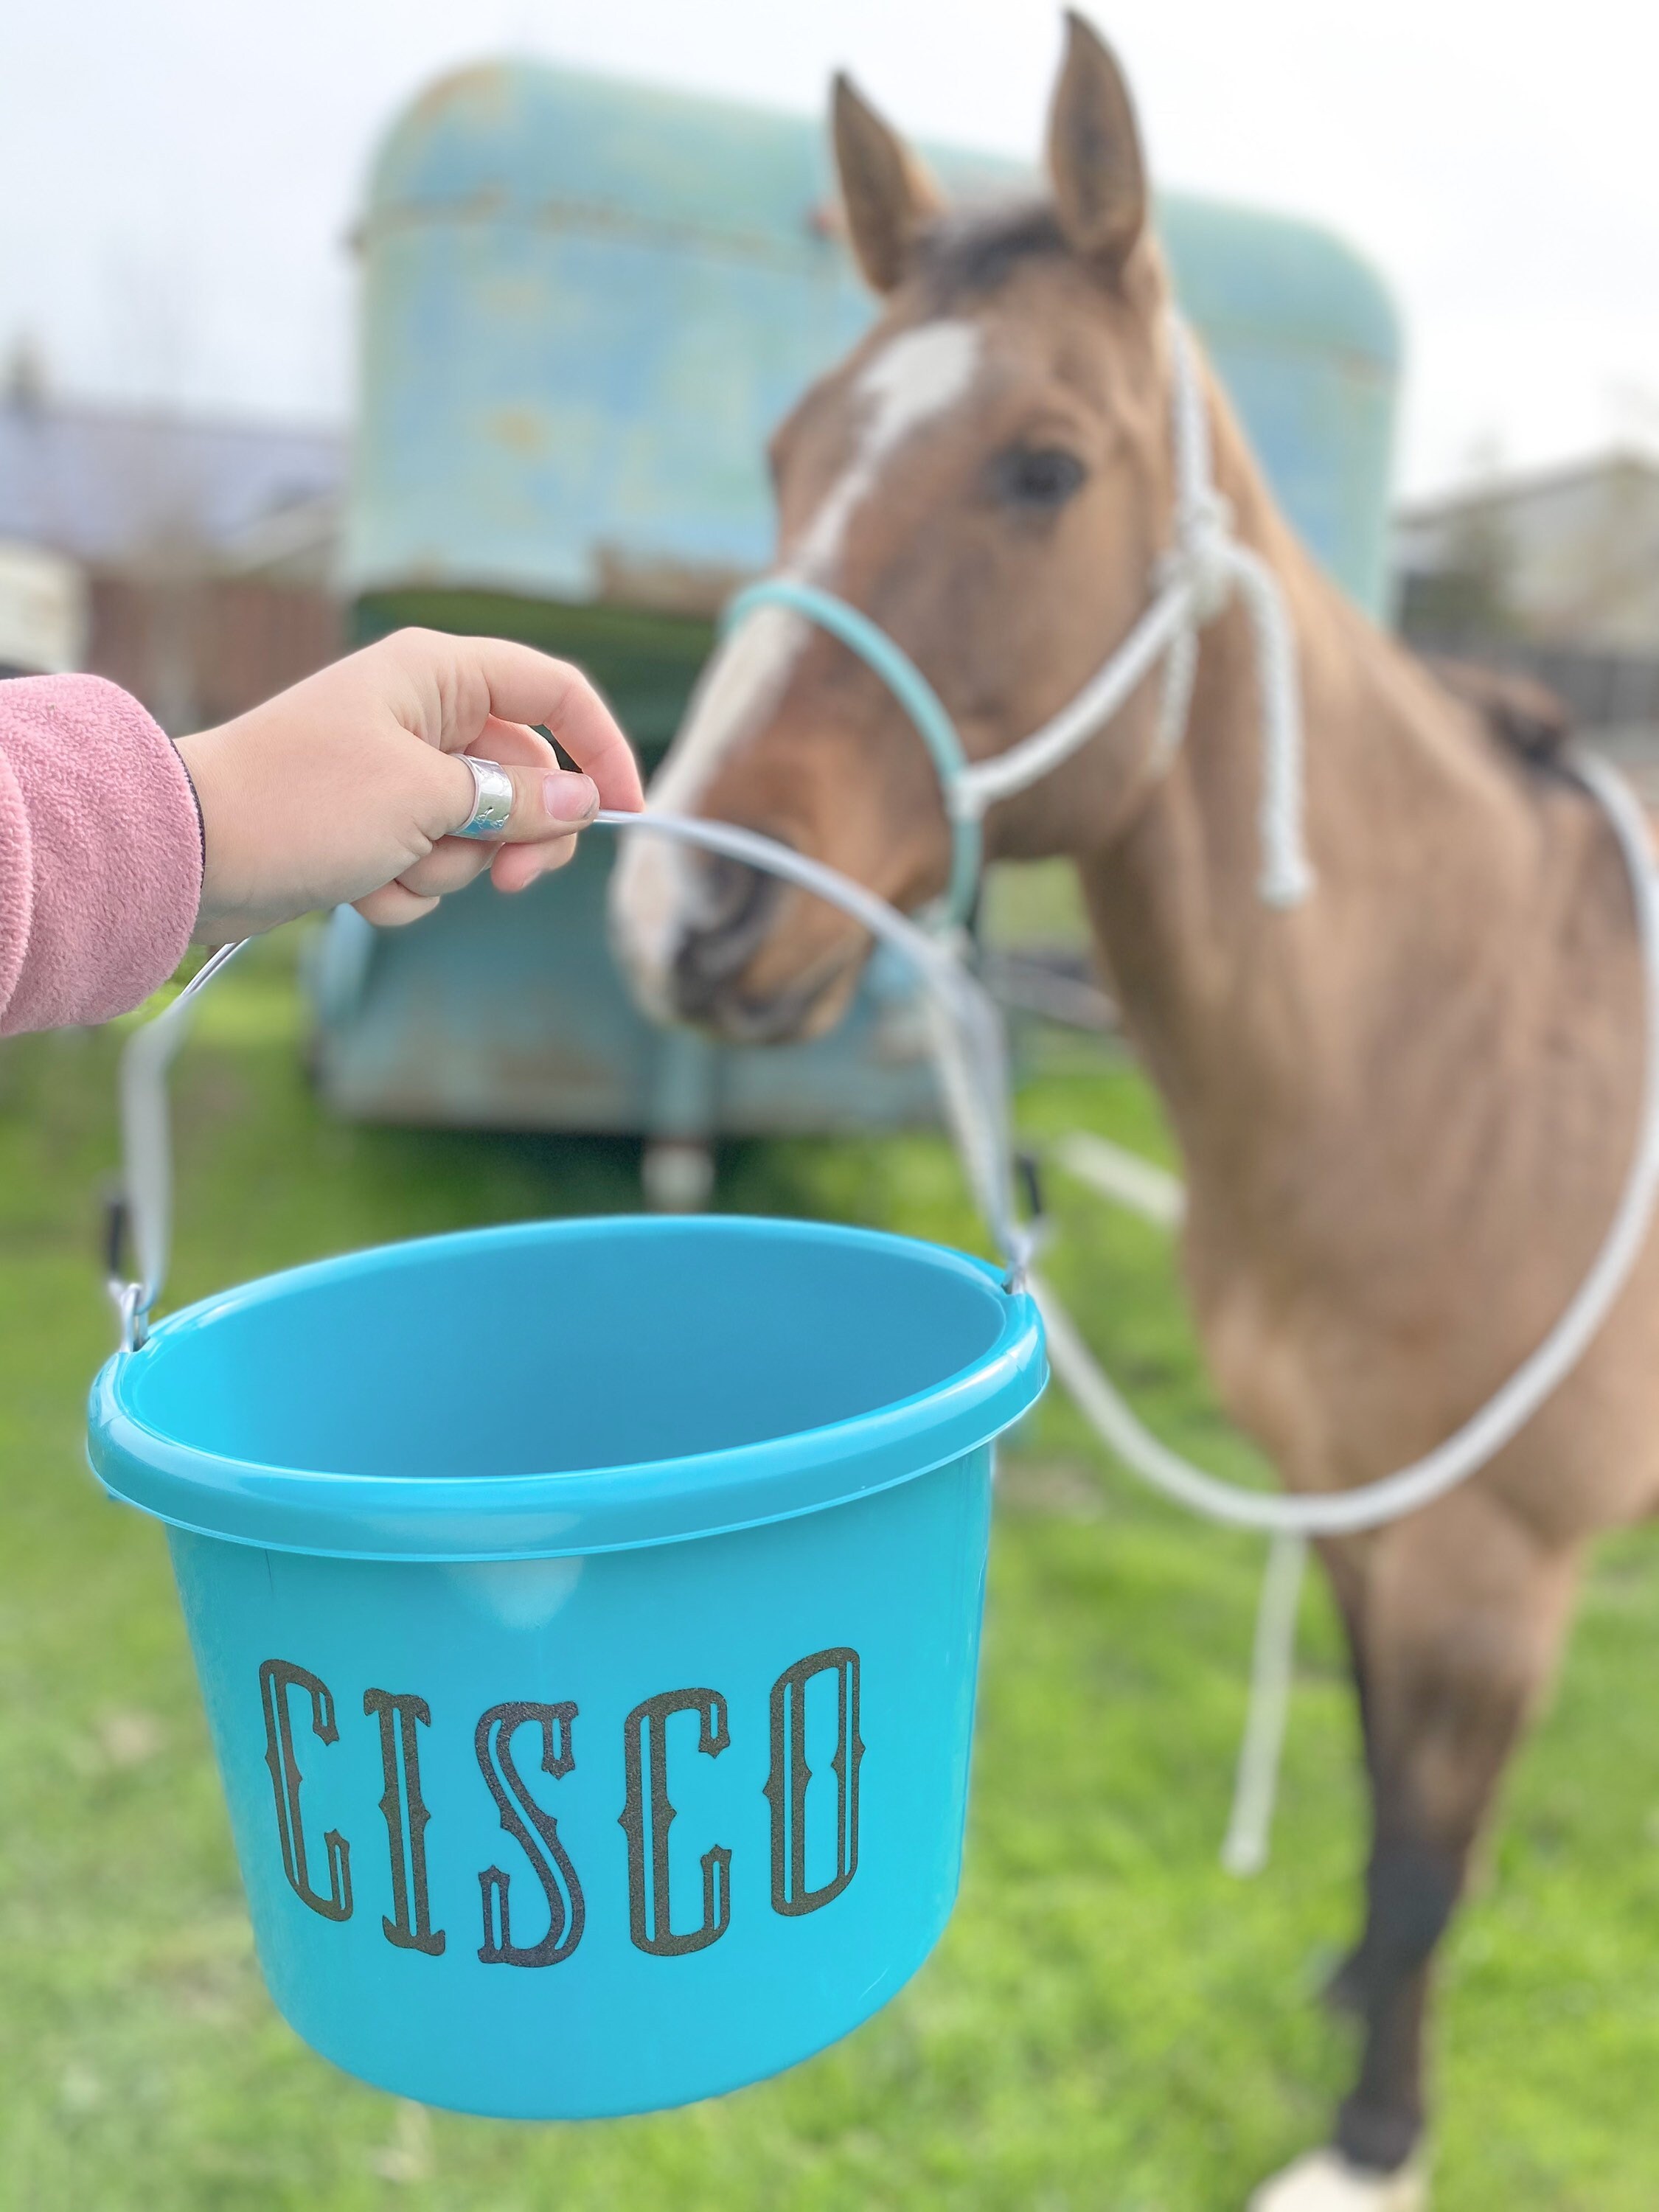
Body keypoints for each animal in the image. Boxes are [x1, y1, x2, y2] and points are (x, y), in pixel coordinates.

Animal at [608, 17, 1659, 2207]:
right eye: (786, 454)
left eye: (1044, 466)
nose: (681, 914)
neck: (1462, 1050)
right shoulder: (1357, 1514)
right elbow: (1377, 1781)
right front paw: (1348, 1999)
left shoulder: (1496, 1571)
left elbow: (1433, 1850)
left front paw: (1371, 2138)